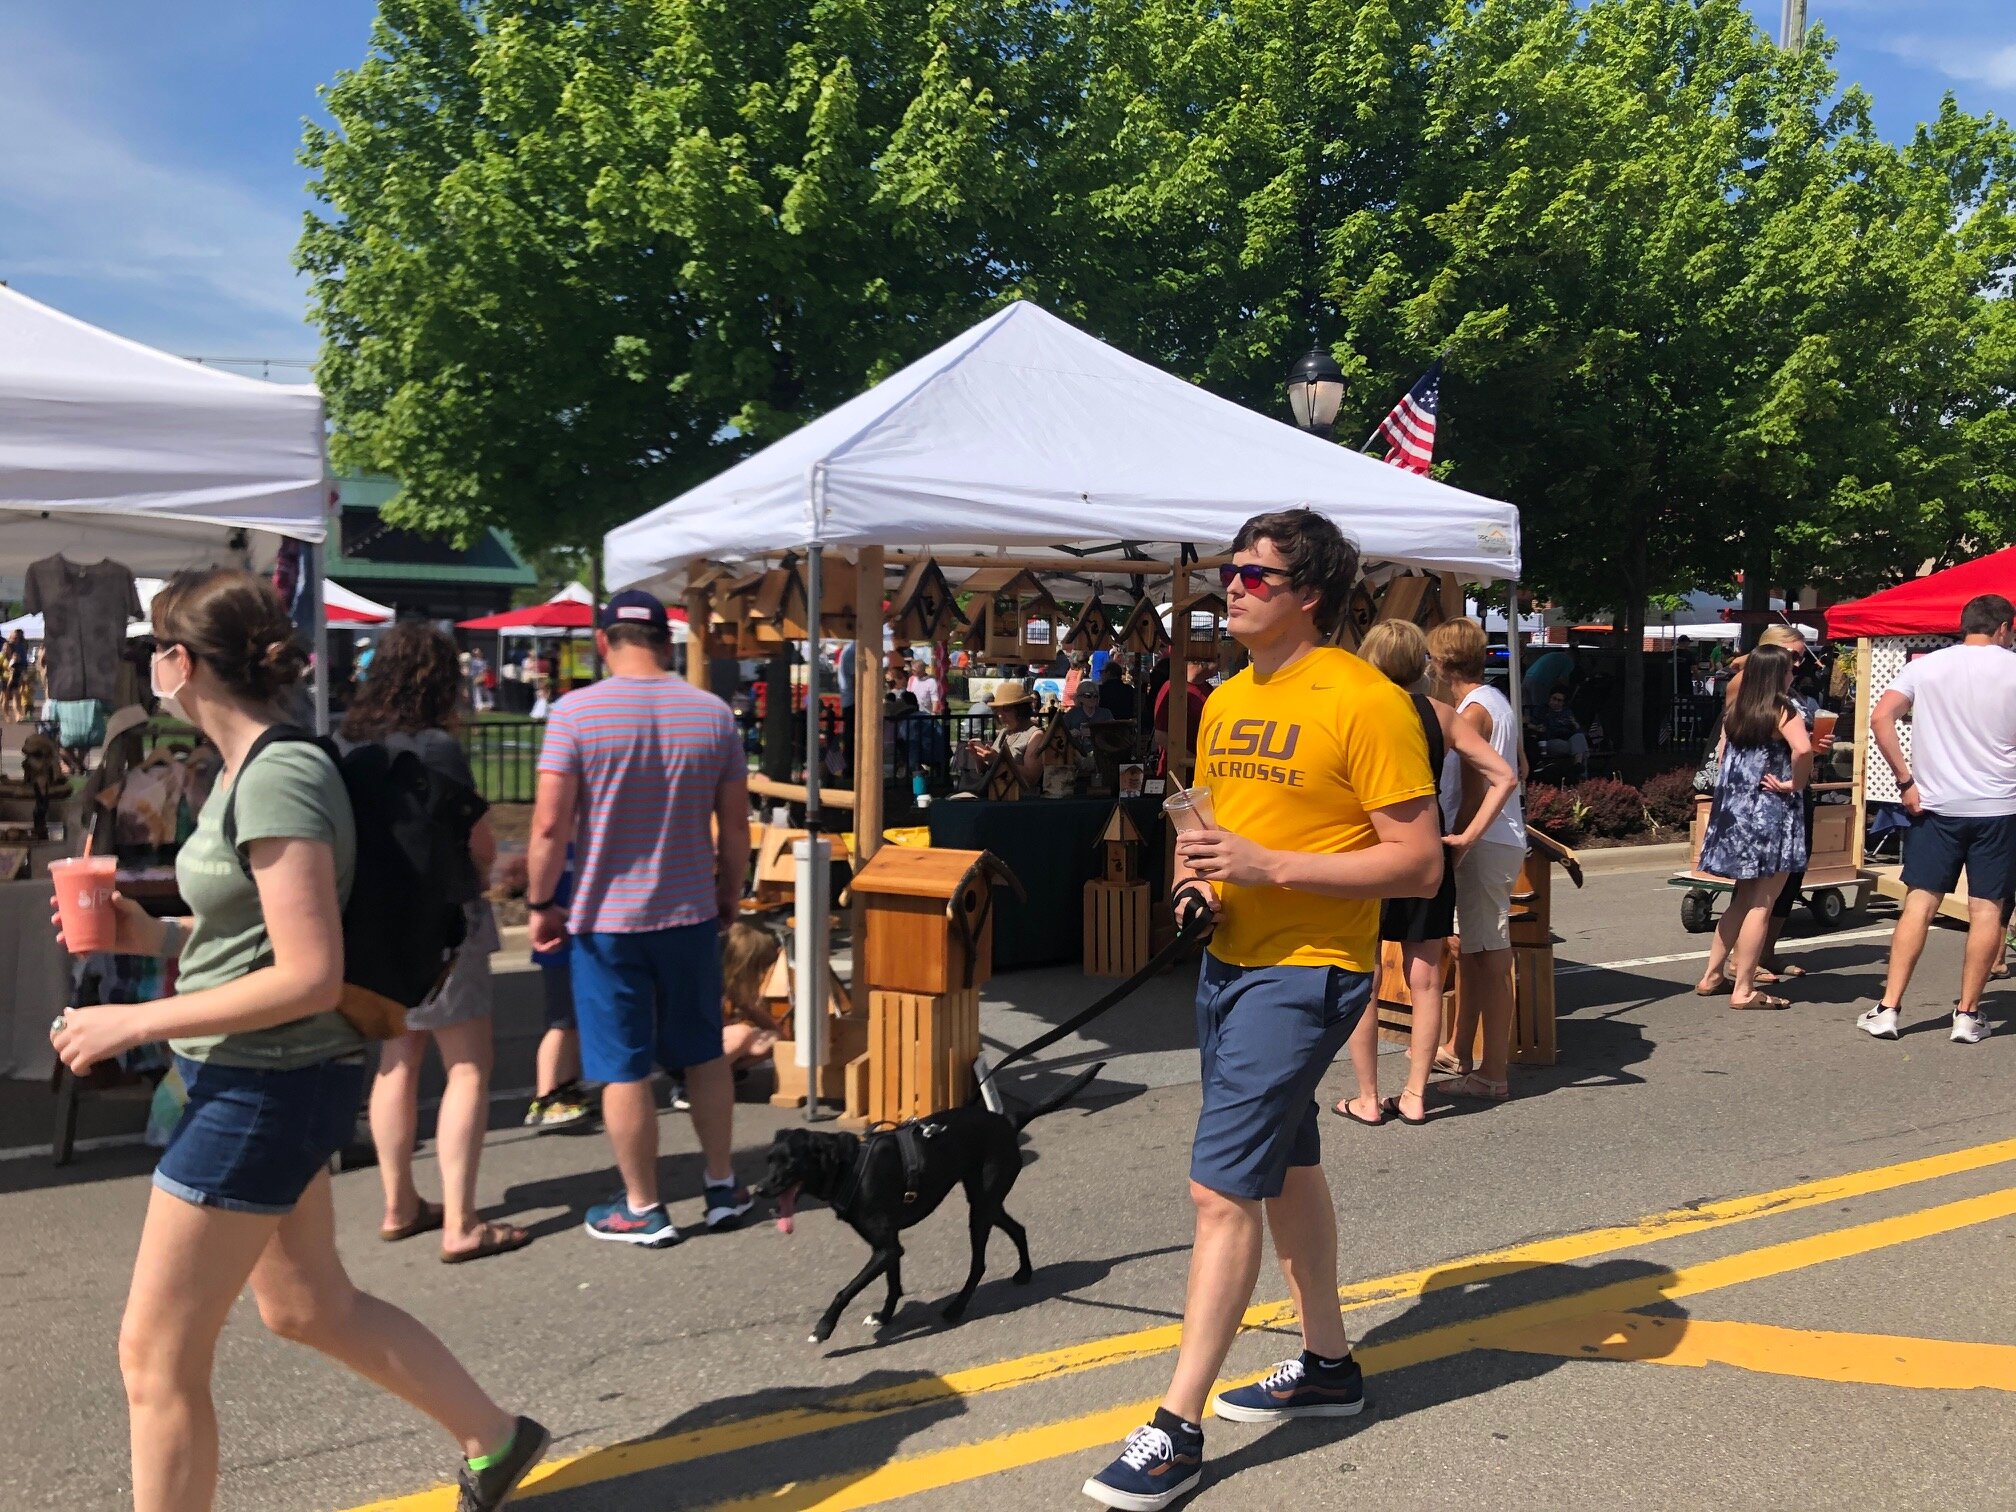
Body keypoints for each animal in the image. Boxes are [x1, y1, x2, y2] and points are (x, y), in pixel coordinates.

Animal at [758, 1064, 1104, 1346]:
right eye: (769, 1159)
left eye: (790, 1164)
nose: (759, 1189)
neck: (850, 1167)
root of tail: (1009, 1120)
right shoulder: (889, 1248)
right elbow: (893, 1284)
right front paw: (884, 1316)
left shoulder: (885, 1248)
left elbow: (846, 1290)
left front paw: (823, 1328)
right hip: (986, 1201)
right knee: (1018, 1228)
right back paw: (1025, 1273)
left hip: (981, 1209)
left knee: (979, 1264)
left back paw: (956, 1308)